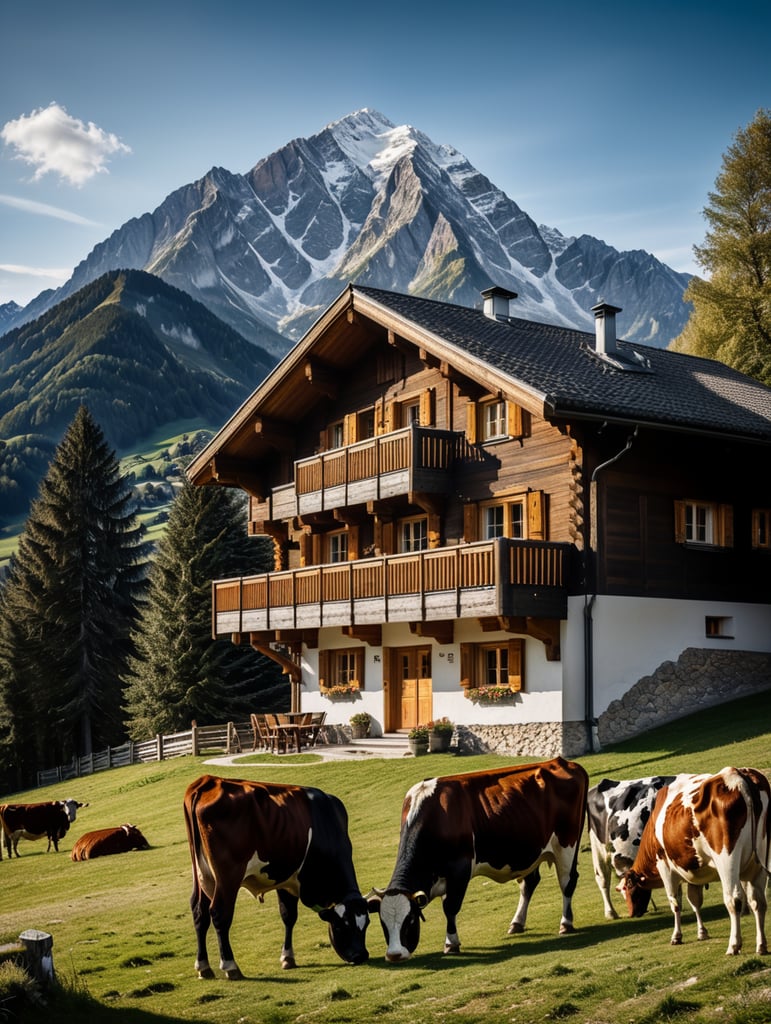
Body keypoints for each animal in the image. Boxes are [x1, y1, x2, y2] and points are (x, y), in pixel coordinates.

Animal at [183, 770, 370, 978]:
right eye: (341, 926)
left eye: (366, 924)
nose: (361, 955)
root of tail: (208, 781)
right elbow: (290, 914)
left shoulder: (286, 878)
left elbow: (288, 915)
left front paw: (288, 958)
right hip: (228, 876)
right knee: (219, 913)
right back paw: (230, 966)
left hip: (202, 874)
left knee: (199, 912)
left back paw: (203, 966)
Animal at [366, 753, 589, 958]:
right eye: (383, 924)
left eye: (410, 920)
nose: (394, 955)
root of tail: (564, 762)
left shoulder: (460, 869)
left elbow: (450, 907)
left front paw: (451, 943)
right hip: (529, 851)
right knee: (529, 883)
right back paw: (517, 923)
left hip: (567, 844)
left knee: (567, 881)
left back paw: (565, 923)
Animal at [618, 765, 769, 954]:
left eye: (628, 888)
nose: (632, 913)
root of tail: (736, 774)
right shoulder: (694, 872)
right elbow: (695, 901)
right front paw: (702, 932)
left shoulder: (665, 867)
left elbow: (675, 902)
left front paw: (676, 936)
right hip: (760, 860)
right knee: (758, 901)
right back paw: (761, 945)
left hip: (727, 860)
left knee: (733, 899)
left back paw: (733, 945)